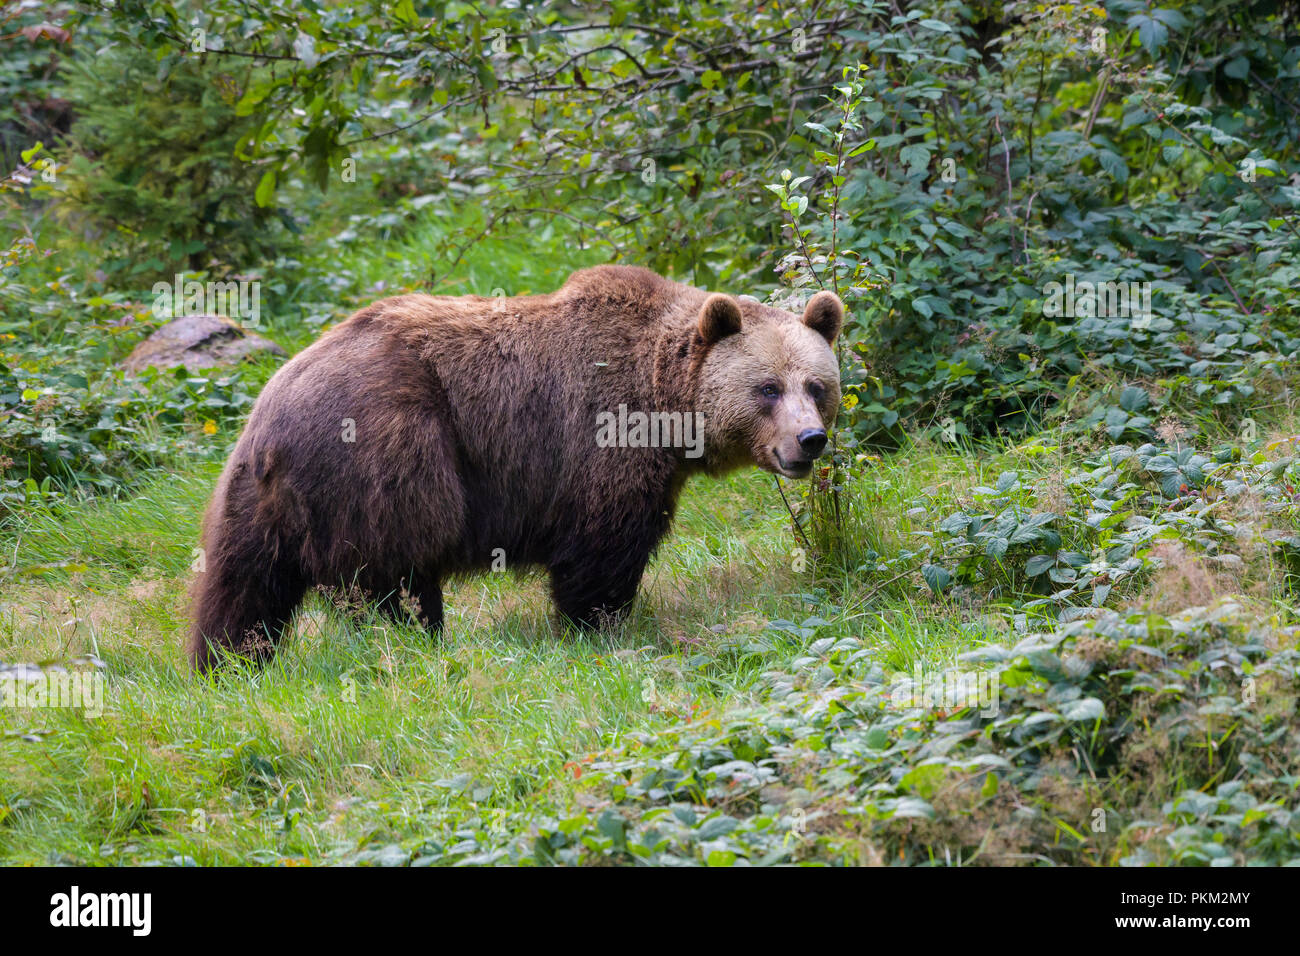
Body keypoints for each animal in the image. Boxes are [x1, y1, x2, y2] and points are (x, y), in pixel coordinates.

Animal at [188, 265, 843, 671]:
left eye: (817, 385)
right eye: (767, 388)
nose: (809, 440)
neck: (665, 401)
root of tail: (271, 414)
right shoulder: (601, 438)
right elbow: (602, 552)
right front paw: (598, 627)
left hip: (253, 500)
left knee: (241, 589)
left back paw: (227, 666)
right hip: (385, 451)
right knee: (394, 573)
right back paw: (418, 640)